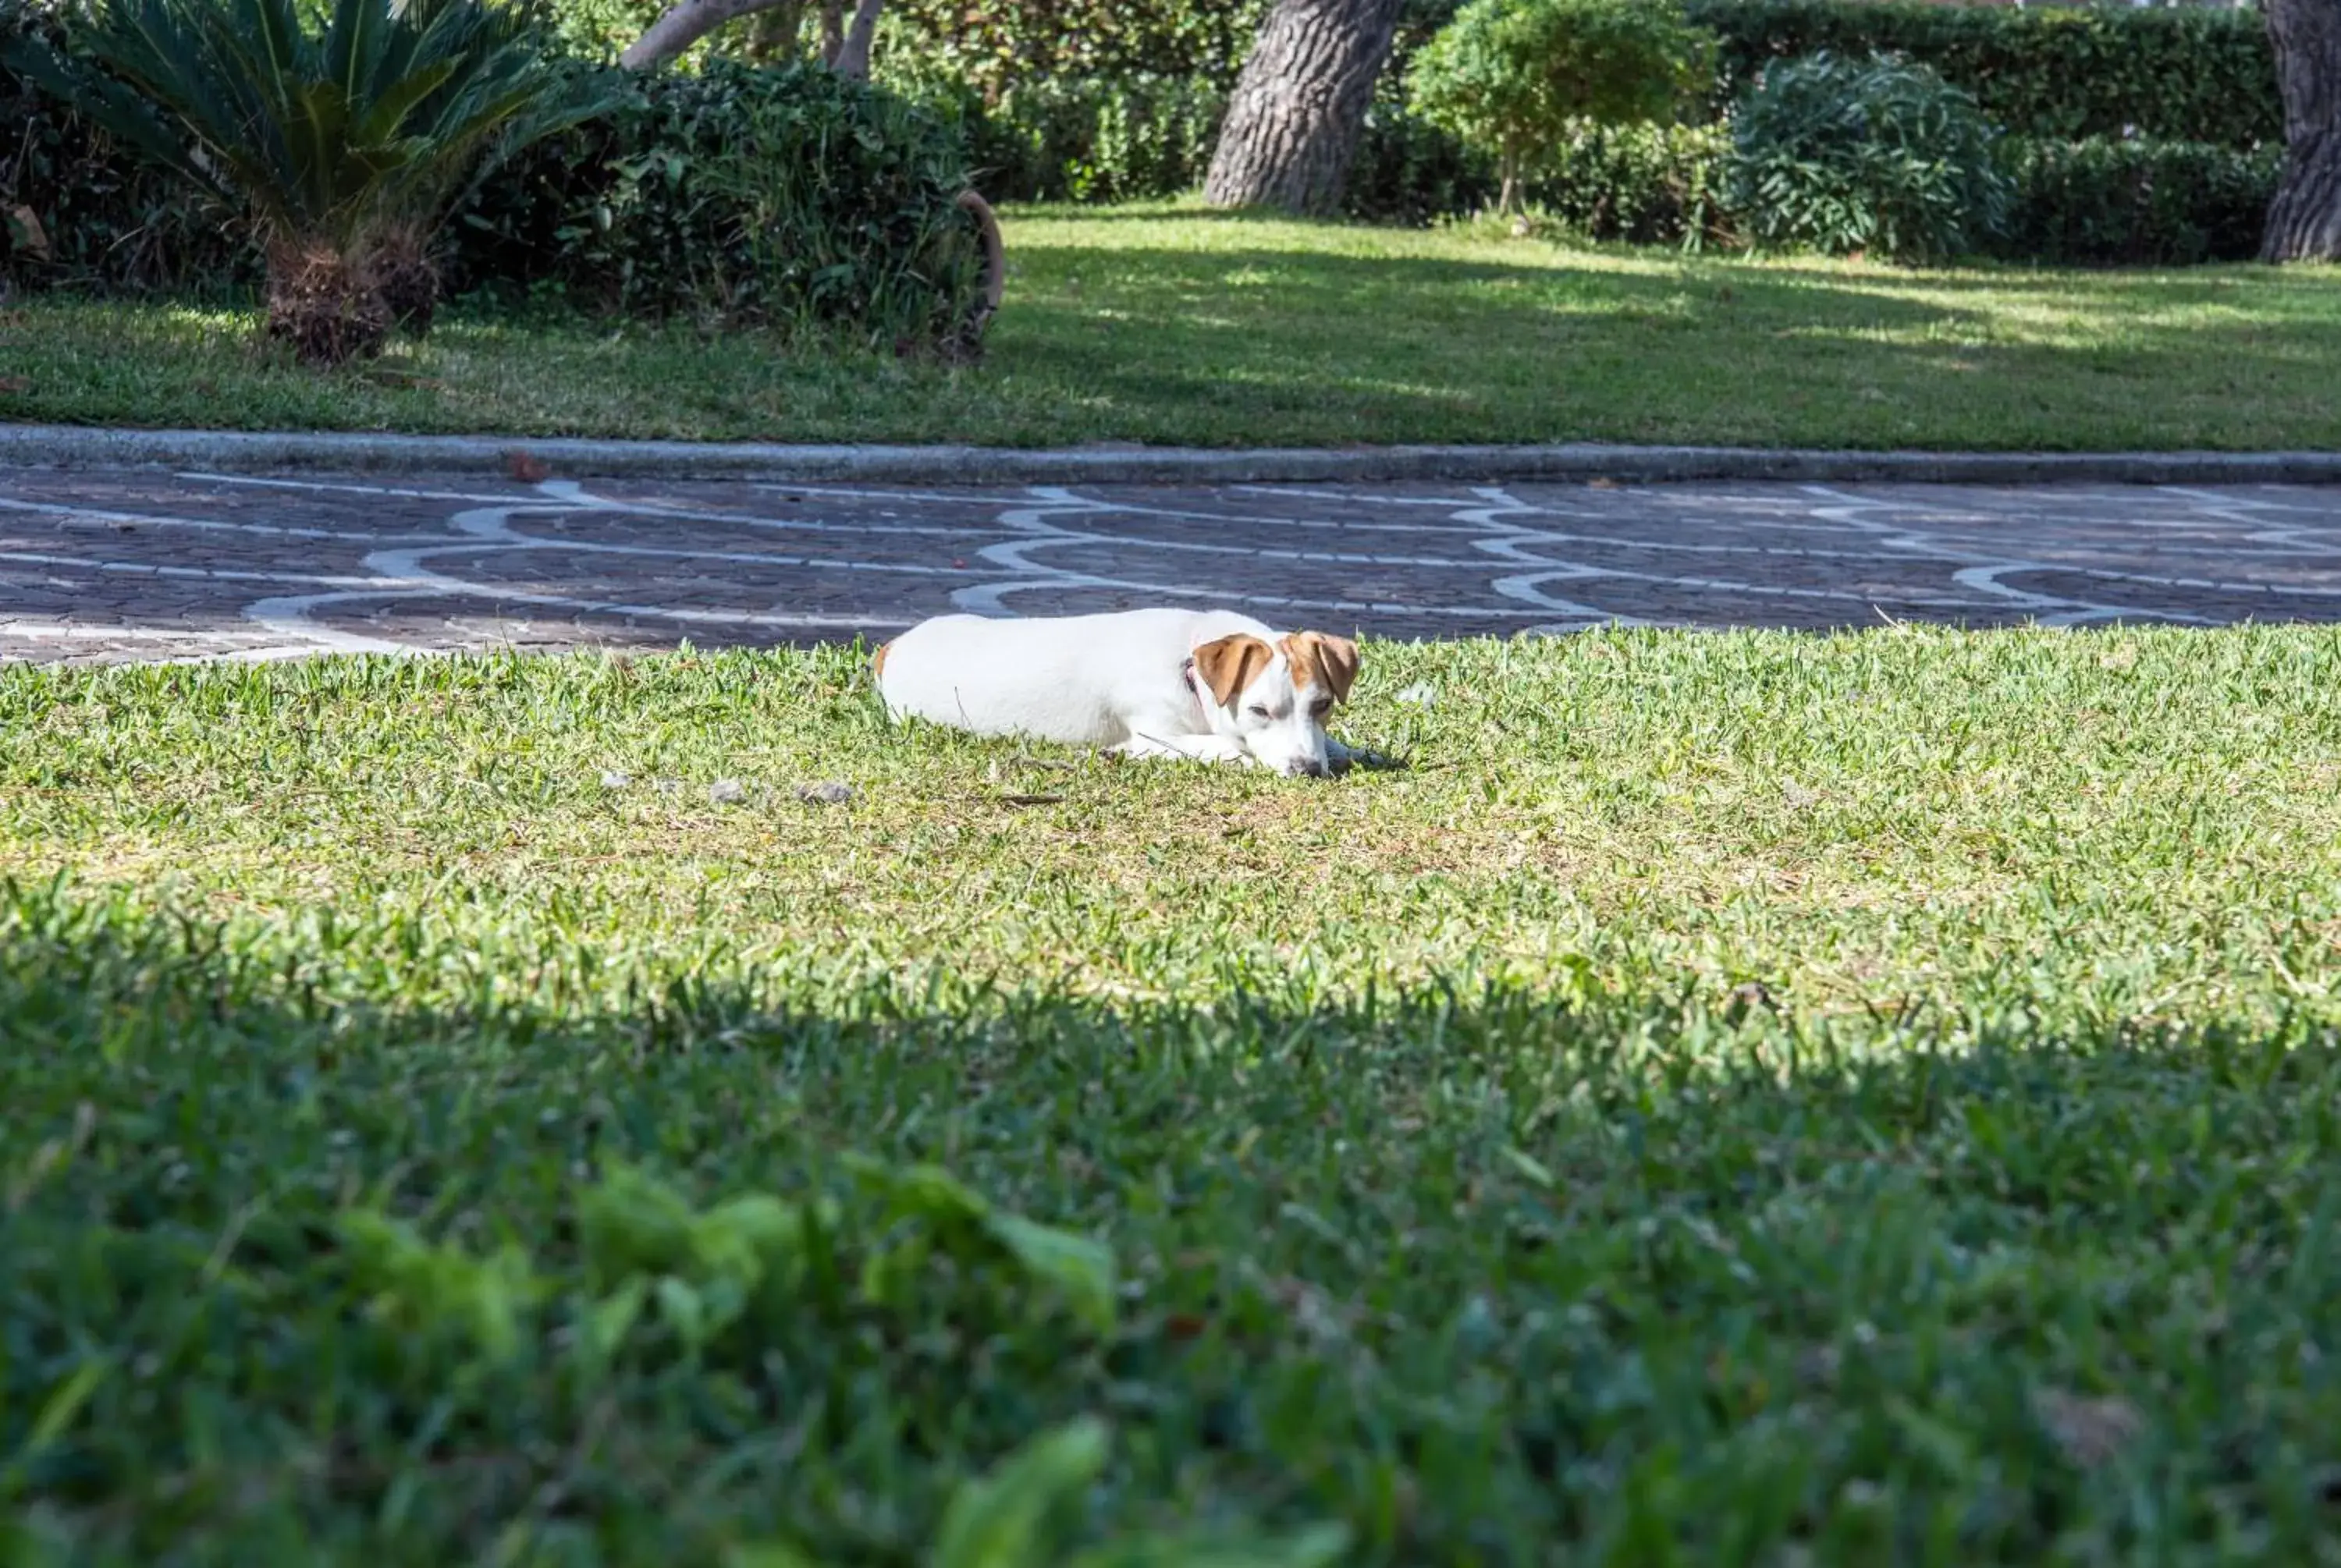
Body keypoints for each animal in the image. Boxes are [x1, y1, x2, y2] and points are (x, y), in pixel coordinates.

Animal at [871, 608, 1367, 782]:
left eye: (1322, 705)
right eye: (1259, 710)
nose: (1307, 770)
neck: (1187, 665)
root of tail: (893, 646)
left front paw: (1349, 751)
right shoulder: (1155, 735)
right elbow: (1224, 746)